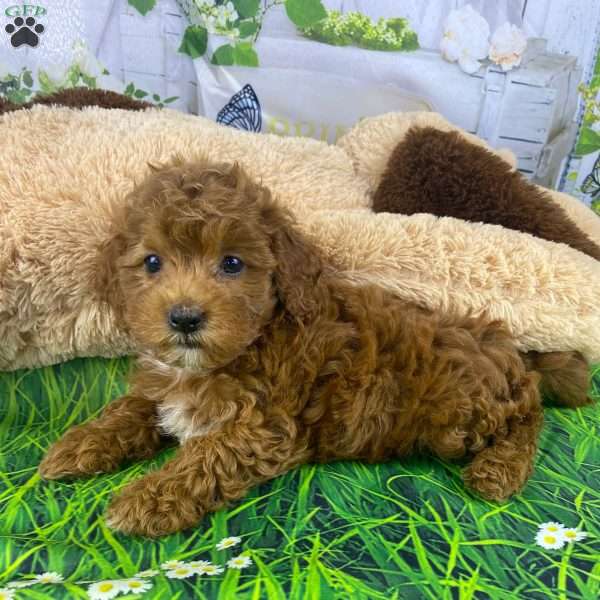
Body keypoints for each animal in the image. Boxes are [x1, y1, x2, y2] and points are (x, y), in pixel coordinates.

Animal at [38, 157, 592, 536]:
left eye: (232, 264)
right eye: (152, 263)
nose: (185, 318)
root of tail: (505, 348)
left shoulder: (265, 429)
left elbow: (205, 458)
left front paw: (146, 499)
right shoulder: (163, 388)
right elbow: (131, 408)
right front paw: (77, 446)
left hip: (459, 414)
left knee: (529, 412)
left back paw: (500, 470)